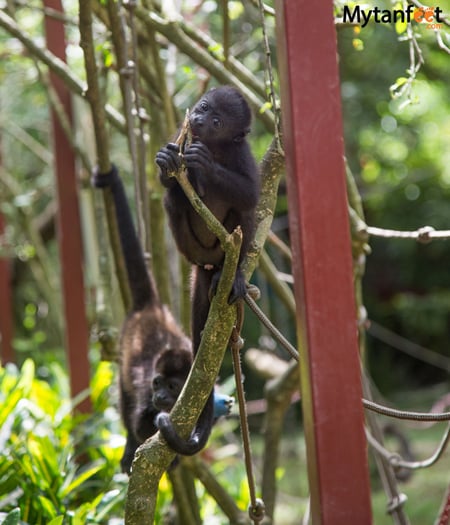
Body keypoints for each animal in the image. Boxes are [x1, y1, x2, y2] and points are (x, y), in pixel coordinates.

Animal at [92, 166, 192, 472]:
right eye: (157, 383)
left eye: (172, 386)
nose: (160, 397)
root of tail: (152, 307)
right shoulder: (145, 390)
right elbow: (138, 425)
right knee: (126, 407)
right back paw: (128, 451)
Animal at [156, 86, 258, 454]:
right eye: (202, 106)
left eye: (217, 121)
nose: (198, 120)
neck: (216, 145)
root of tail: (209, 264)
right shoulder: (180, 134)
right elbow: (169, 178)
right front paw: (168, 161)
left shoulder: (242, 152)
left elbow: (250, 193)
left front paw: (205, 164)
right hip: (193, 251)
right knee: (172, 200)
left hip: (226, 248)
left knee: (245, 213)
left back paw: (234, 274)